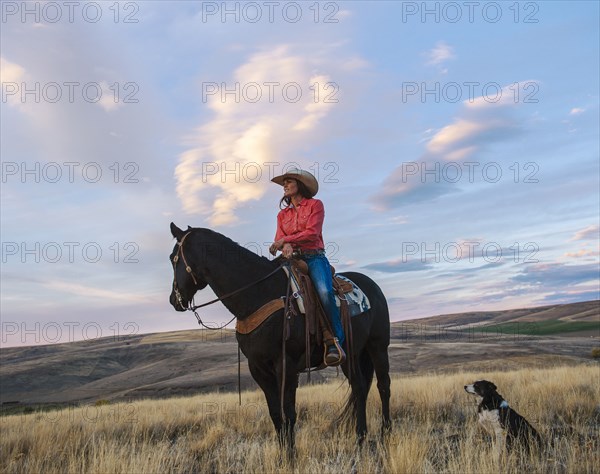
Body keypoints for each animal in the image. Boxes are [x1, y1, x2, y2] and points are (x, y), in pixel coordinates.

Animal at [169, 224, 394, 454]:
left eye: (172, 258)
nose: (173, 300)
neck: (258, 294)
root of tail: (372, 286)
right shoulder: (258, 368)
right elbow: (276, 415)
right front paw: (282, 454)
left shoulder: (287, 365)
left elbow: (290, 413)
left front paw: (291, 455)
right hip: (352, 354)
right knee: (359, 388)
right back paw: (360, 438)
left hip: (378, 346)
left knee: (383, 386)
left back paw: (385, 432)